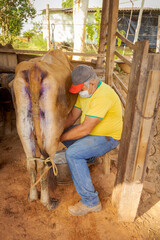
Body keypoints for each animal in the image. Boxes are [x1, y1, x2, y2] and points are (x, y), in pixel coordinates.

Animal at [12, 49, 77, 209]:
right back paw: (47, 201)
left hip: (23, 124)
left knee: (31, 162)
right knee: (45, 163)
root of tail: (35, 70)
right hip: (52, 131)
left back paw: (33, 196)